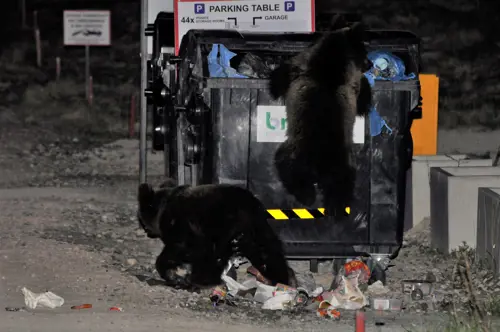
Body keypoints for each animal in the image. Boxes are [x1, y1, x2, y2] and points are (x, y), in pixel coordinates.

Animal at [137, 180, 296, 290]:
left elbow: (183, 248)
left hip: (222, 226)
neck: (163, 208)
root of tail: (248, 205)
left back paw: (198, 281)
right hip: (257, 230)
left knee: (213, 255)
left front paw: (172, 274)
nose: (146, 230)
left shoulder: (184, 227)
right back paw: (285, 278)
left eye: (143, 220)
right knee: (268, 253)